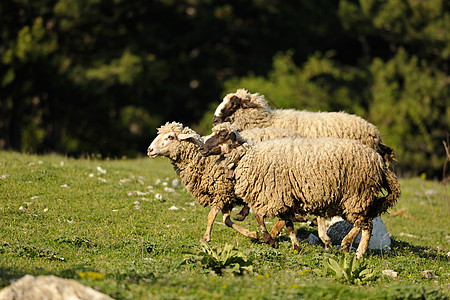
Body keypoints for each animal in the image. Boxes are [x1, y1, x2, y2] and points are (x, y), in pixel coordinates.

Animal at [201, 122, 400, 258]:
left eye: (223, 134)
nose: (202, 148)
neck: (249, 156)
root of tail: (380, 163)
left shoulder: (274, 196)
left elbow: (259, 216)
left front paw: (269, 240)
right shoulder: (285, 198)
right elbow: (288, 224)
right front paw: (295, 246)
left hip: (357, 194)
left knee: (367, 225)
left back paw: (358, 253)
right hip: (353, 199)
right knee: (363, 222)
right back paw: (345, 244)